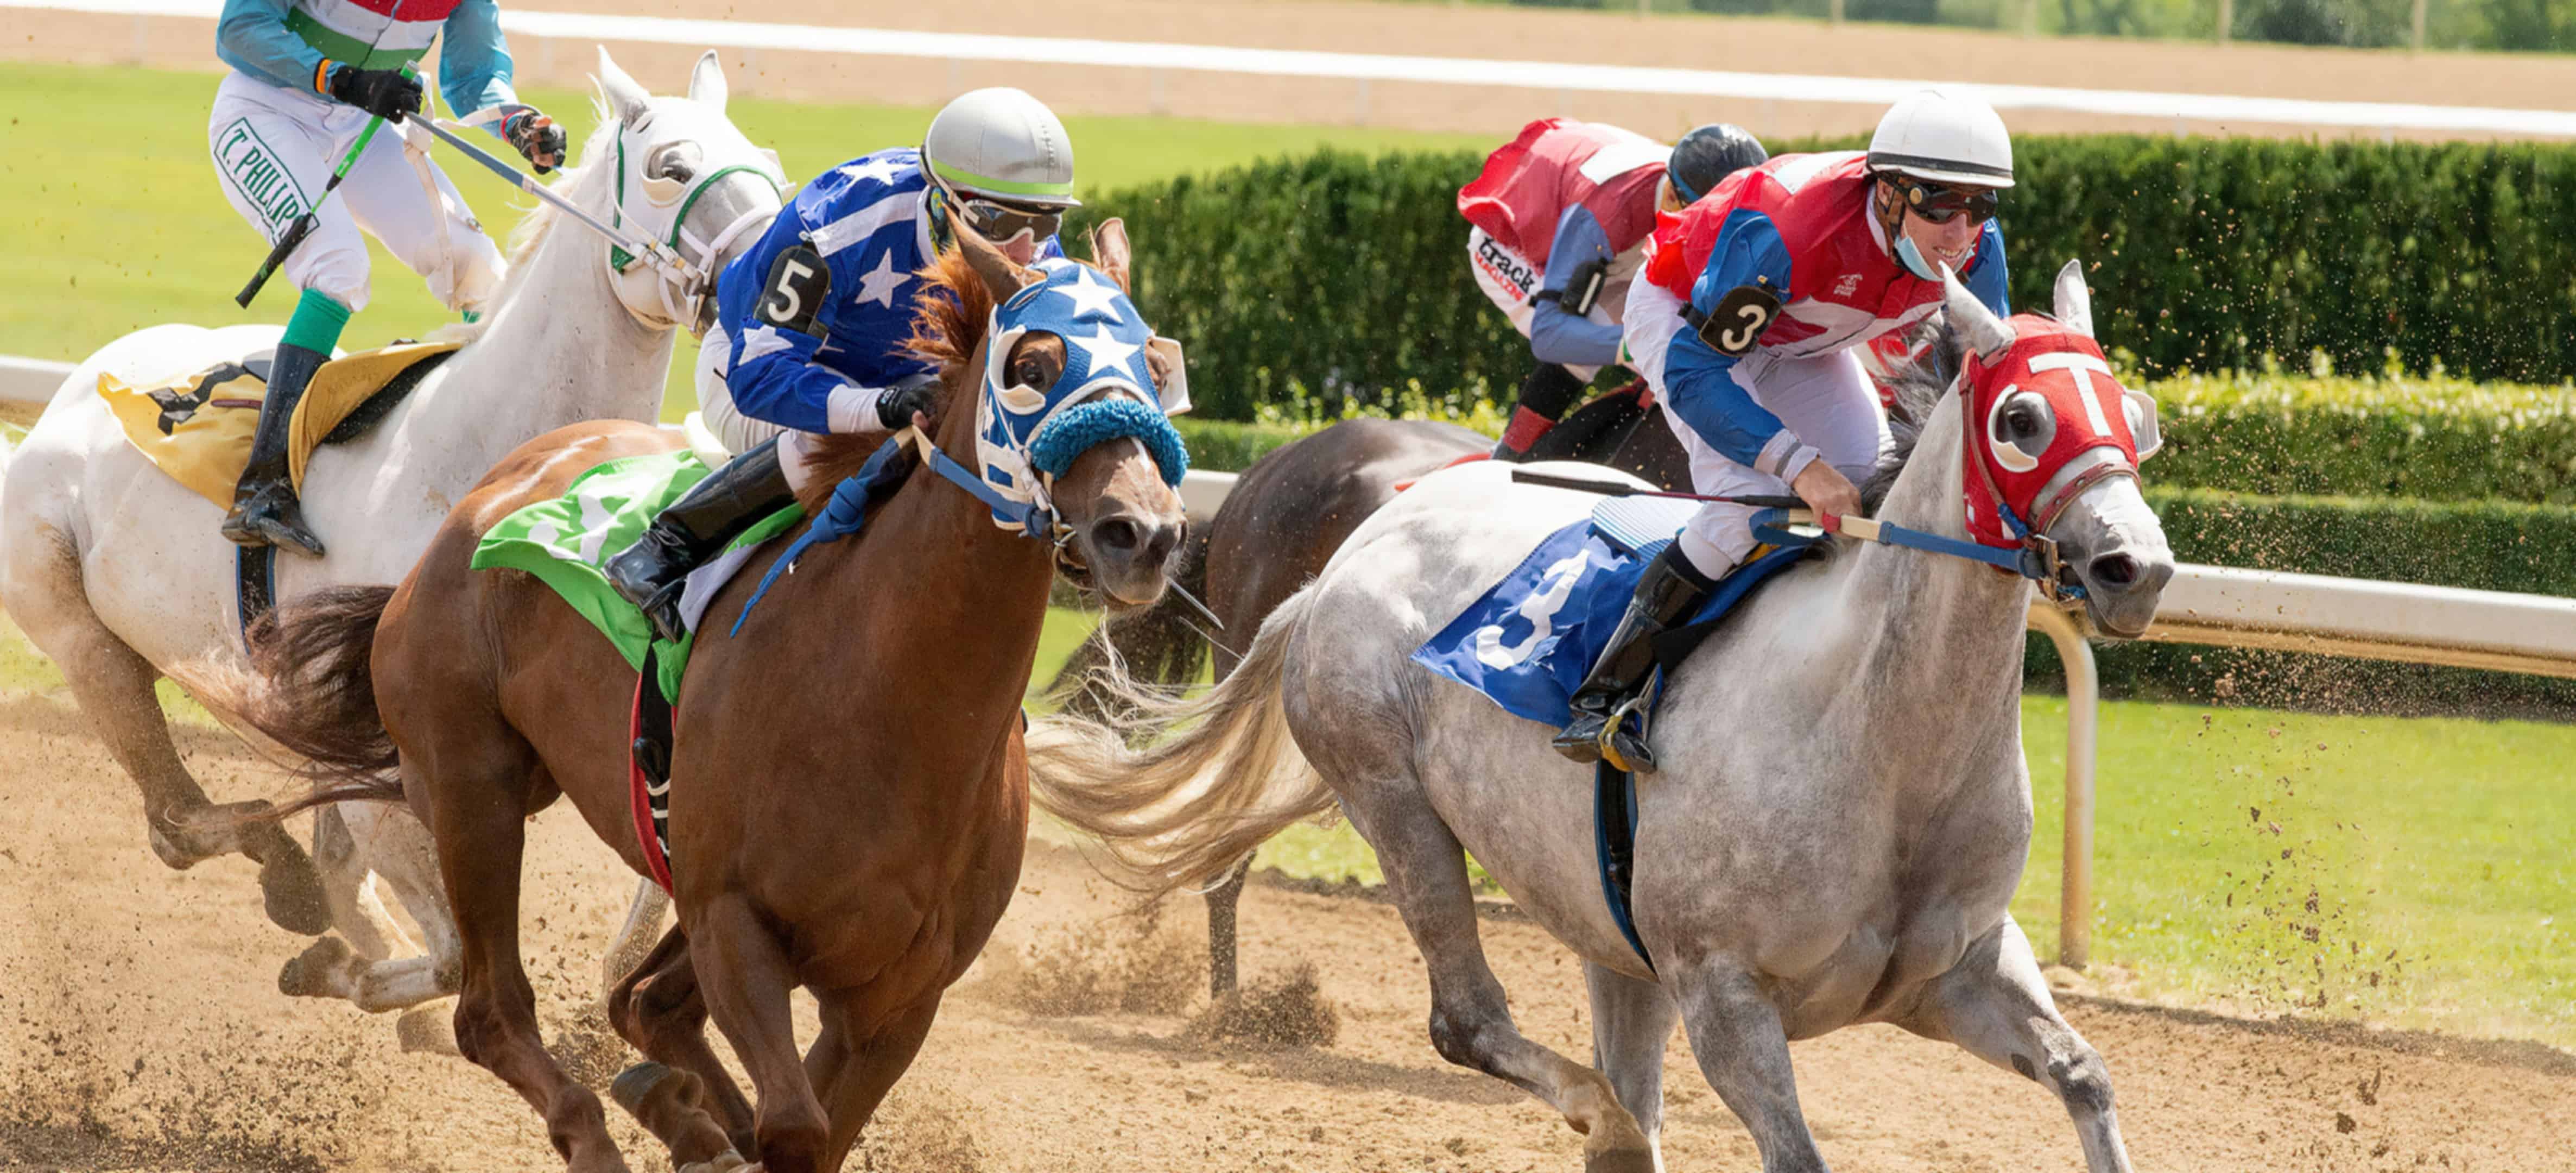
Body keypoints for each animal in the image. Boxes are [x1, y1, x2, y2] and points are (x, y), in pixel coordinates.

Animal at [0, 48, 784, 1024]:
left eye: (768, 159)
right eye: (672, 166)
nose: (789, 278)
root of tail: (77, 391)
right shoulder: (397, 763)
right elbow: (450, 958)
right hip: (79, 630)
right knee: (178, 821)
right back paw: (287, 881)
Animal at [199, 221, 1187, 1172]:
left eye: (1154, 363)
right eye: (1032, 367)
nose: (1143, 533)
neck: (892, 702)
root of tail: (485, 495)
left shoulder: (901, 994)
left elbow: (819, 1123)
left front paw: (698, 1122)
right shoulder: (733, 924)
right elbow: (796, 1127)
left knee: (641, 1005)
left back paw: (678, 1115)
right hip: (472, 788)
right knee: (491, 1010)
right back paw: (602, 1133)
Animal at [1023, 265, 2174, 1172]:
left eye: (2138, 418)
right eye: (2021, 421)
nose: (2139, 569)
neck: (1882, 739)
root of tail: (1344, 563)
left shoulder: (1958, 974)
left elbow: (2088, 1075)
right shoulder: (1725, 997)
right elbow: (1795, 1152)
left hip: (1602, 921)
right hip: (1392, 798)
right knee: (1471, 1021)